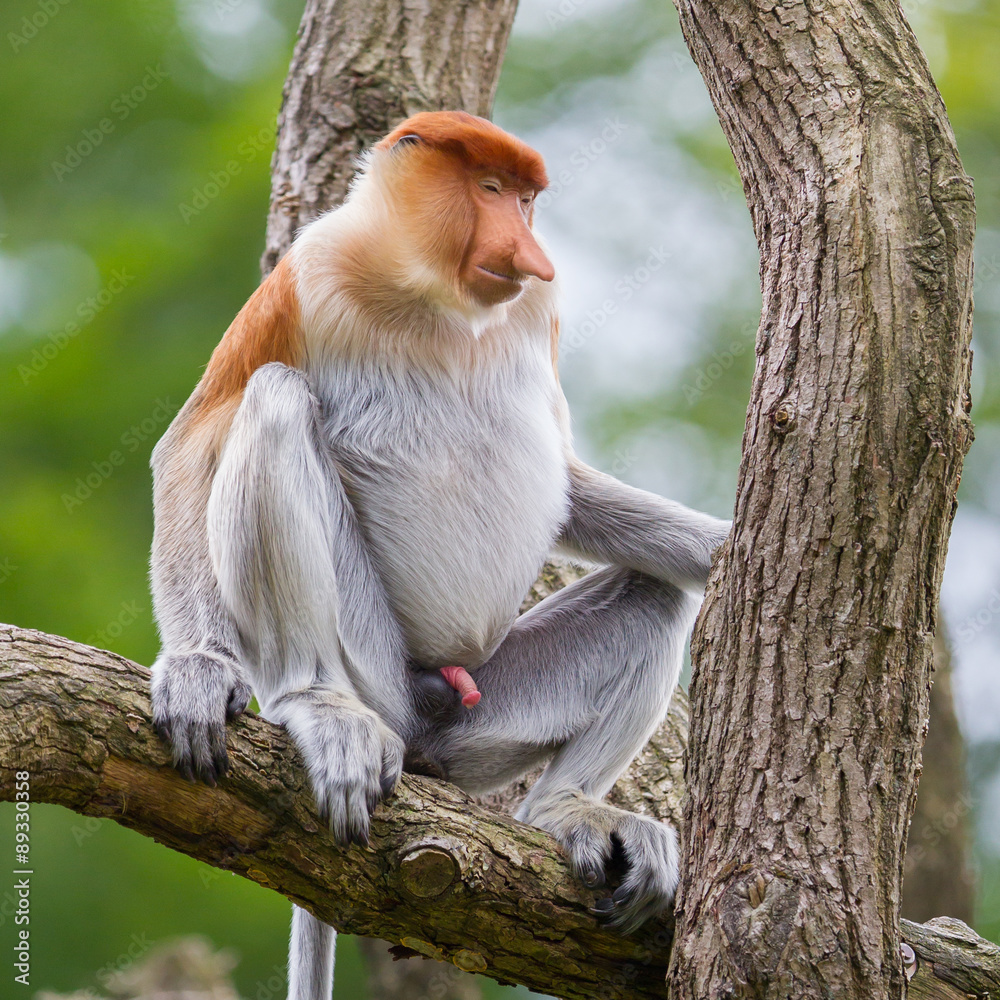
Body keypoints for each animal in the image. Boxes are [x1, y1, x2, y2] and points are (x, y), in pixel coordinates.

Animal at [149, 111, 729, 1000]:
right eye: (488, 189)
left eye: (526, 200)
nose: (531, 253)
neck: (436, 296)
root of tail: (419, 718)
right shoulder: (302, 276)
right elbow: (191, 443)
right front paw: (199, 670)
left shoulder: (539, 310)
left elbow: (566, 481)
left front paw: (722, 545)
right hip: (373, 666)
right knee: (276, 400)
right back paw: (319, 708)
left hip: (481, 720)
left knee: (656, 596)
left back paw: (565, 813)